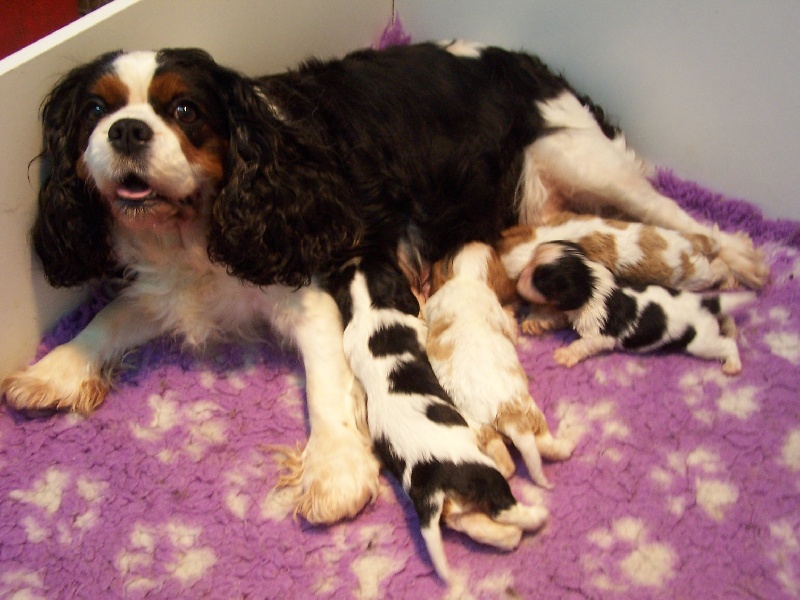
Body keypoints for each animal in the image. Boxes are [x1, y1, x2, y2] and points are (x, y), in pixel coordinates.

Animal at [424, 241, 576, 490]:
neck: (469, 278)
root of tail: (510, 416)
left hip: (479, 427)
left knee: (507, 465)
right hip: (533, 414)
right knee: (547, 446)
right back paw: (568, 442)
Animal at [520, 240, 752, 376]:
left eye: (539, 279)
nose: (521, 274)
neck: (591, 278)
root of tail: (706, 303)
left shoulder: (600, 333)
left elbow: (583, 344)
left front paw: (565, 354)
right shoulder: (571, 311)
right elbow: (554, 316)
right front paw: (534, 322)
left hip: (701, 342)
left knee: (728, 345)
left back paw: (733, 365)